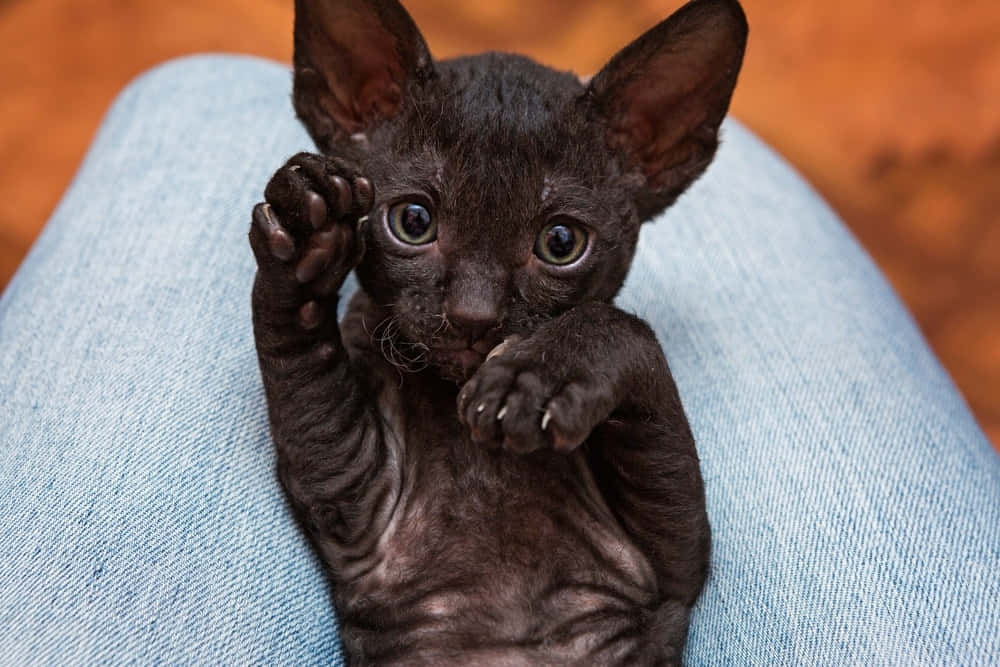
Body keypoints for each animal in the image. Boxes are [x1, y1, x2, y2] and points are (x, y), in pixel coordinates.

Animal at [248, 1, 752, 664]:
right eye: (413, 222)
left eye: (561, 242)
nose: (474, 315)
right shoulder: (356, 505)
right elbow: (298, 356)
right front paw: (305, 233)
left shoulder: (672, 570)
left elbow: (628, 330)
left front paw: (538, 378)